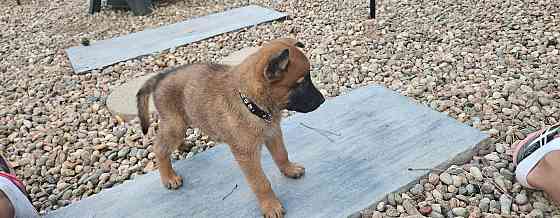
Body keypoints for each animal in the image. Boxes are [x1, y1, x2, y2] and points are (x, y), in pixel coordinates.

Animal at [136, 38, 326, 217]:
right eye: (301, 83)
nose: (323, 100)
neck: (250, 102)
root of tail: (161, 77)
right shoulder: (246, 155)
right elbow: (261, 183)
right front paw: (271, 206)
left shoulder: (273, 133)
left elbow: (281, 154)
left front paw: (289, 169)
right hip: (175, 124)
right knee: (159, 148)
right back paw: (169, 176)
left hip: (182, 121)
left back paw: (183, 146)